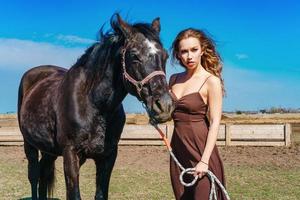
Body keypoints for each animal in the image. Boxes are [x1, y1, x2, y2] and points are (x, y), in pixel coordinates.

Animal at [17, 13, 175, 199]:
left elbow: (100, 194)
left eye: (165, 56)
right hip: (30, 144)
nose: (164, 105)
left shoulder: (107, 157)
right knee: (34, 175)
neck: (94, 105)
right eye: (134, 56)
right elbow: (74, 194)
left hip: (49, 150)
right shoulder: (70, 154)